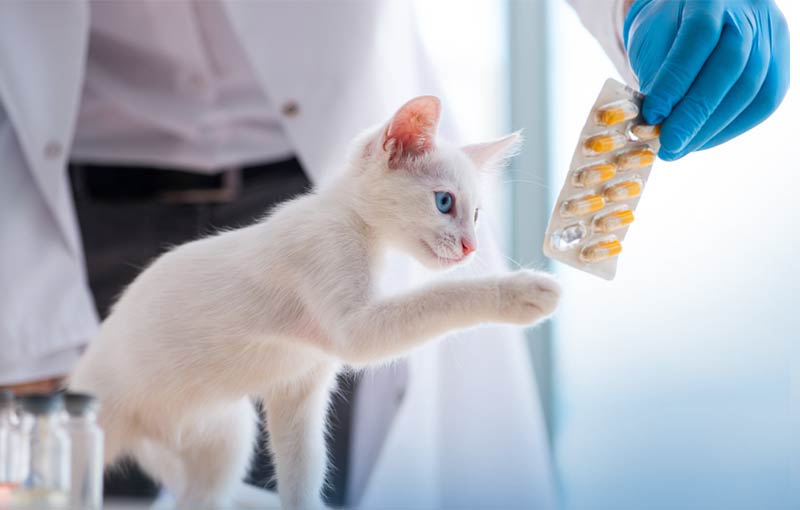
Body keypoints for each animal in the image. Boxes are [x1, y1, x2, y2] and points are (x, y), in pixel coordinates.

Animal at [69, 96, 560, 510]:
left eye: (476, 215)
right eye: (444, 202)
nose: (470, 248)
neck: (354, 224)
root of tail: (148, 435)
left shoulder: (299, 386)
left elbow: (303, 467)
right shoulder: (348, 311)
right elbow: (435, 298)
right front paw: (518, 291)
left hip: (225, 433)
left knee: (200, 498)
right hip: (98, 423)